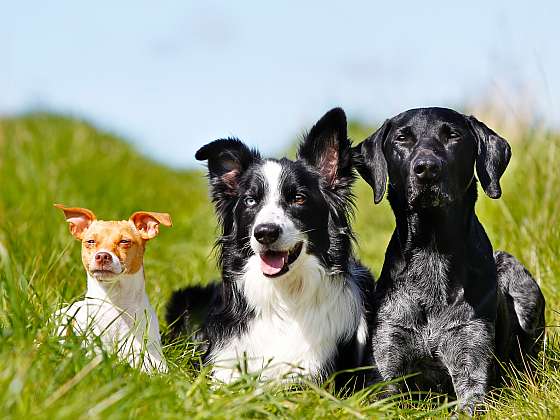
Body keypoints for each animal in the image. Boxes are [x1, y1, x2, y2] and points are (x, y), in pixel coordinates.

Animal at [356, 107, 544, 414]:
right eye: (402, 138)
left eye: (452, 136)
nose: (427, 168)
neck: (432, 250)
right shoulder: (386, 362)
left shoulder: (471, 361)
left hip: (517, 277)